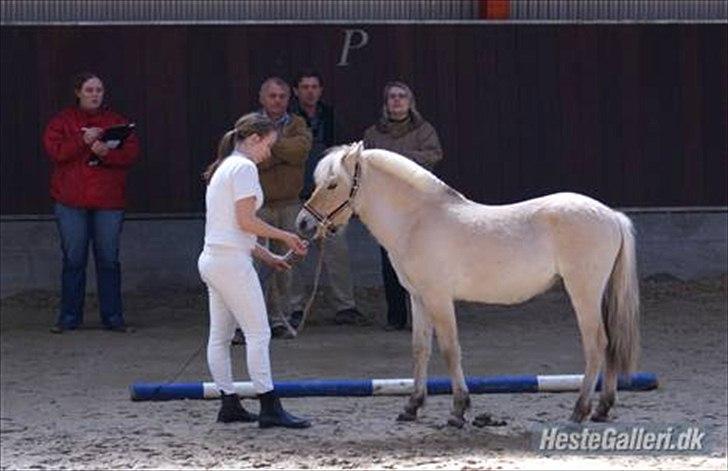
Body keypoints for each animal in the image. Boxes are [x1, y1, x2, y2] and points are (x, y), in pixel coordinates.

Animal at [296, 143, 636, 428]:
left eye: (332, 184)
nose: (303, 223)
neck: (417, 221)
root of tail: (611, 215)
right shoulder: (419, 299)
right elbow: (420, 349)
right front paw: (412, 407)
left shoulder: (438, 298)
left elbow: (450, 350)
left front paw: (458, 411)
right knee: (609, 345)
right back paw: (602, 408)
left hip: (584, 293)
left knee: (596, 344)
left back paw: (580, 410)